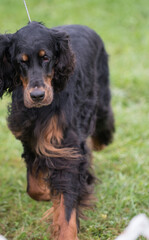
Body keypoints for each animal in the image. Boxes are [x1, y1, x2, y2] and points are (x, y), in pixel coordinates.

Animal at [0, 21, 114, 239]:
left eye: (46, 57)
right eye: (21, 61)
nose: (37, 95)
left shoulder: (67, 147)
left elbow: (67, 204)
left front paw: (65, 230)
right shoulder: (29, 136)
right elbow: (34, 187)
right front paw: (46, 191)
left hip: (101, 101)